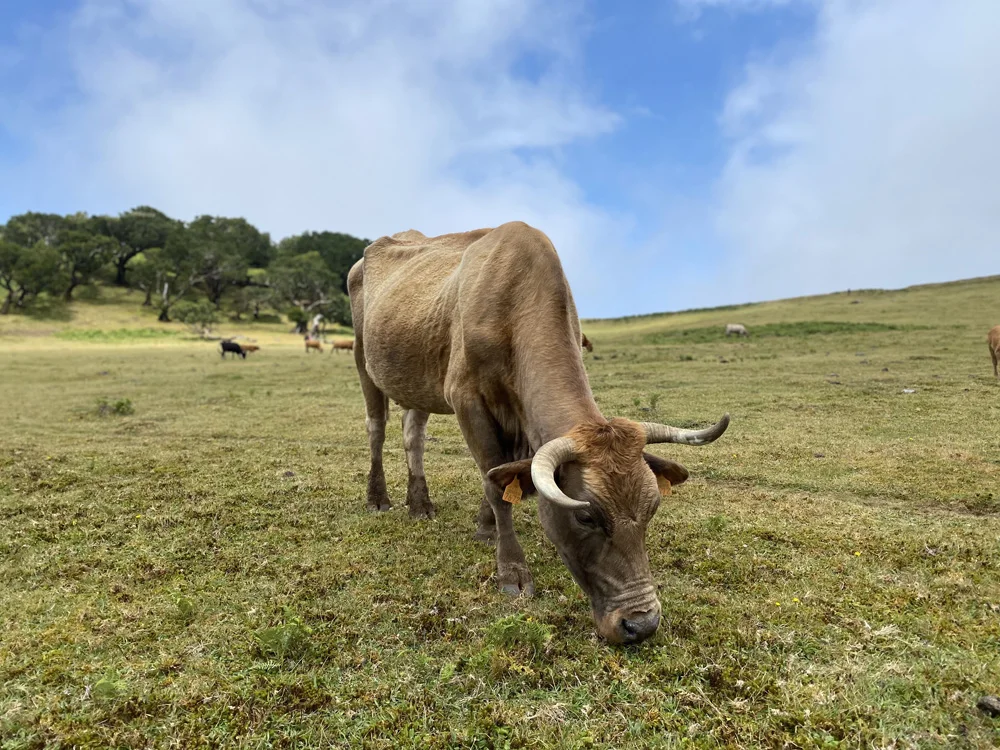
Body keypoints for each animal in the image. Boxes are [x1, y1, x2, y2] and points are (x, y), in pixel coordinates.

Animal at [346, 222, 728, 648]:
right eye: (586, 517)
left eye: (653, 508)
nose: (641, 623)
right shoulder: (466, 399)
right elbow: (495, 481)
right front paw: (512, 569)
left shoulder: (520, 420)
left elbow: (504, 473)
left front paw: (486, 528)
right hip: (363, 360)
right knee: (376, 429)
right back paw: (378, 498)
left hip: (417, 380)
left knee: (413, 434)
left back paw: (420, 503)